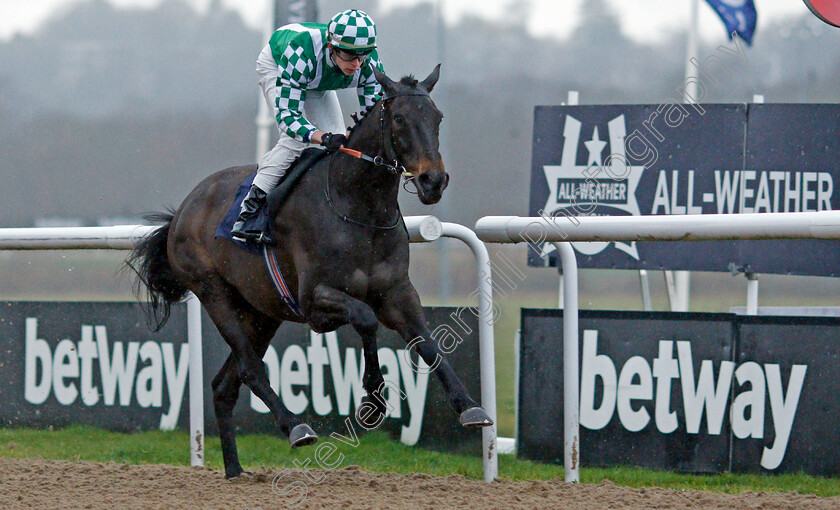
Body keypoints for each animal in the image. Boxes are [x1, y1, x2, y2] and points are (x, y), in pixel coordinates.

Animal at [124, 64, 492, 478]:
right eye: (399, 118)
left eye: (437, 117)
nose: (433, 181)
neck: (357, 207)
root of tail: (183, 210)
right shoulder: (316, 302)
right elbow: (366, 319)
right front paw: (373, 401)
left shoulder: (398, 293)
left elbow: (427, 343)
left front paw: (470, 407)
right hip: (214, 293)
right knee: (251, 370)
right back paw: (296, 427)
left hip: (261, 312)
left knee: (224, 385)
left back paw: (234, 471)